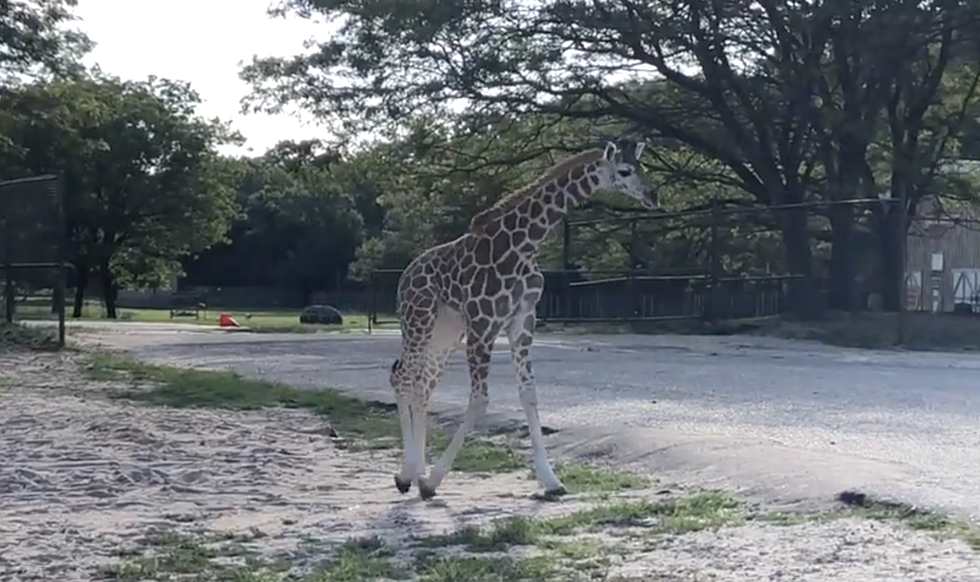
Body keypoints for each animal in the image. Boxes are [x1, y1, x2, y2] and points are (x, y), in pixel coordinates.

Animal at [386, 138, 656, 502]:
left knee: (422, 385)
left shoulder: (522, 322)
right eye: (625, 171)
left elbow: (529, 395)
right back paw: (408, 473)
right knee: (402, 378)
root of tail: (405, 276)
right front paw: (433, 481)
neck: (525, 244)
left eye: (642, 167)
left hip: (446, 331)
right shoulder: (483, 324)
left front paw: (551, 480)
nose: (651, 196)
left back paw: (414, 472)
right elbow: (479, 402)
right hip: (418, 320)